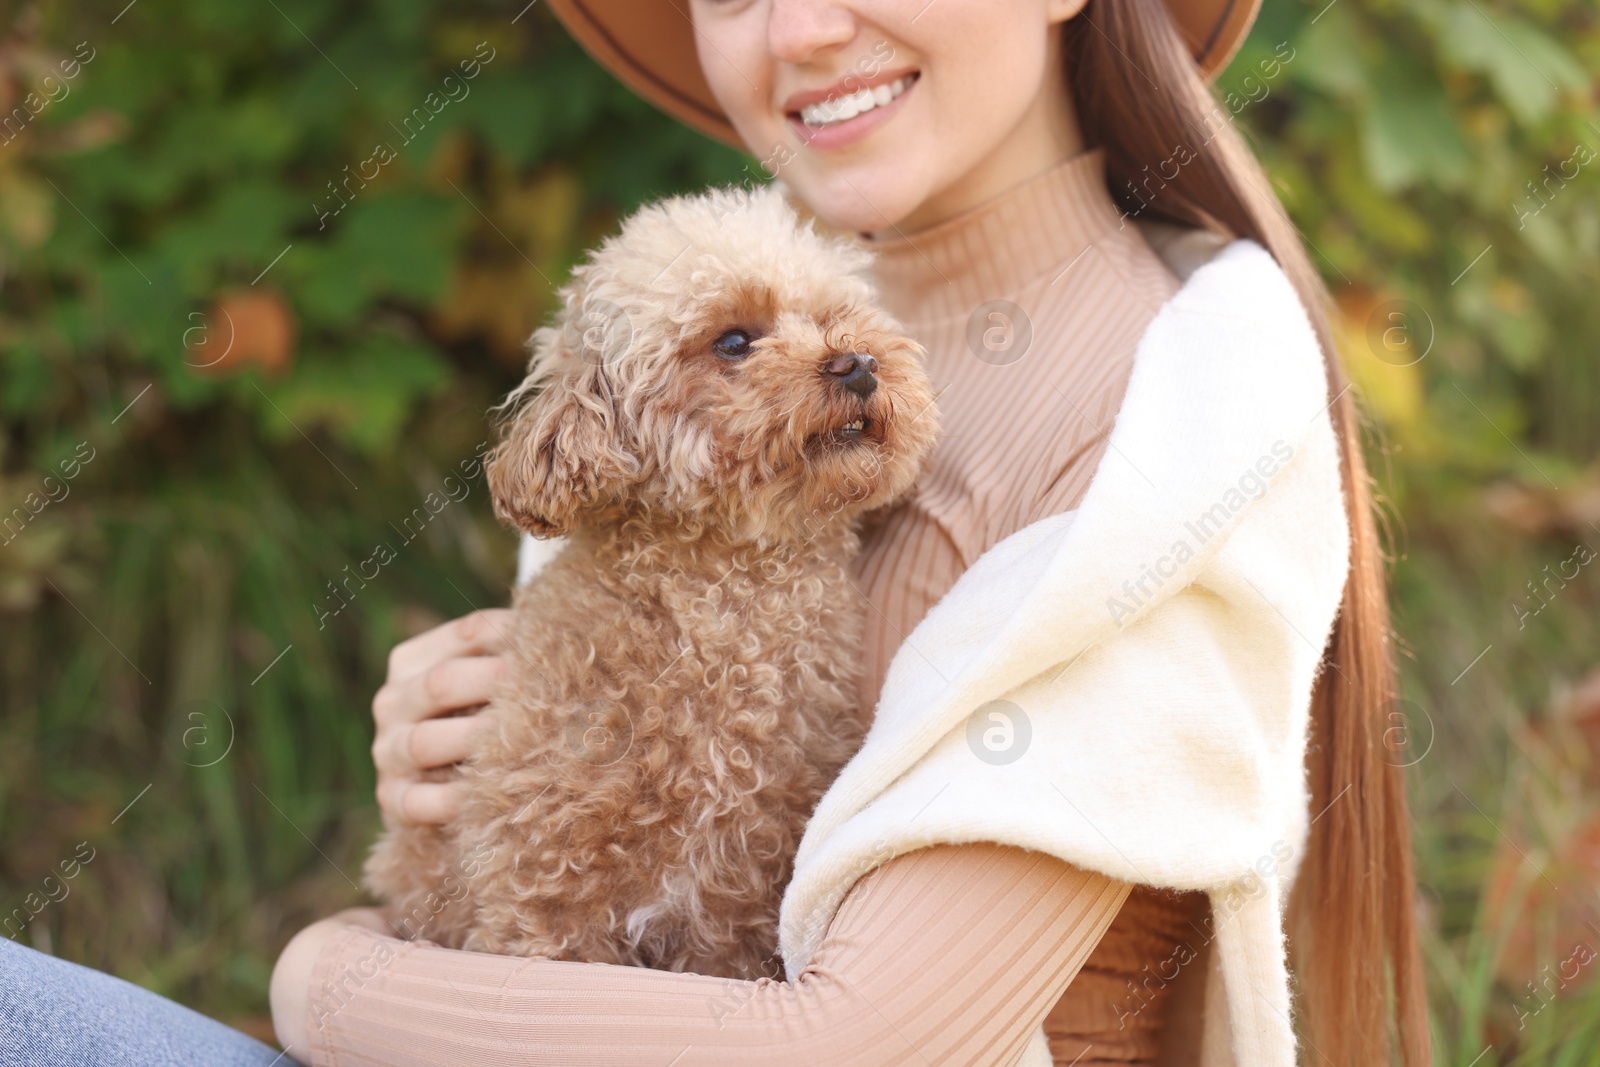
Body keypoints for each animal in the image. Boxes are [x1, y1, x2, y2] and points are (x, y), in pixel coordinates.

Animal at [366, 181, 934, 979]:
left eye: (831, 317)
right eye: (734, 341)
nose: (858, 362)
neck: (723, 604)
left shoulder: (731, 920)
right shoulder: (541, 895)